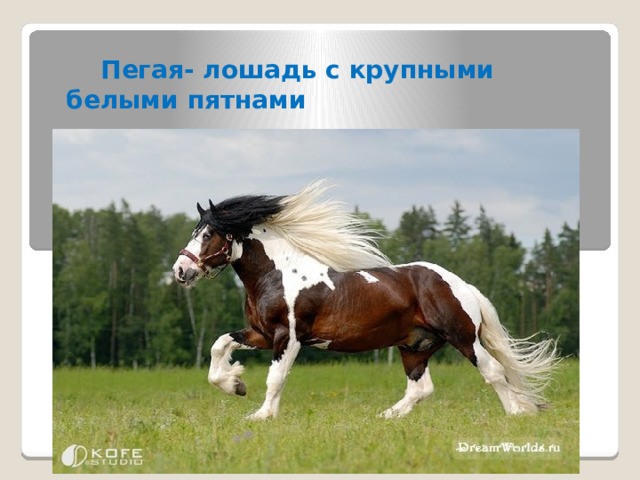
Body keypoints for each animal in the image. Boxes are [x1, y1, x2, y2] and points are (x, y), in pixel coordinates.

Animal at [172, 181, 559, 420]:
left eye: (208, 234)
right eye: (195, 232)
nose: (180, 270)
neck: (277, 274)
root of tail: (459, 283)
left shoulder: (288, 337)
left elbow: (275, 378)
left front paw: (261, 415)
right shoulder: (261, 334)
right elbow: (219, 345)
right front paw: (234, 383)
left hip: (463, 337)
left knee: (493, 372)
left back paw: (516, 413)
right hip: (415, 345)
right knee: (422, 388)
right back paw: (386, 416)